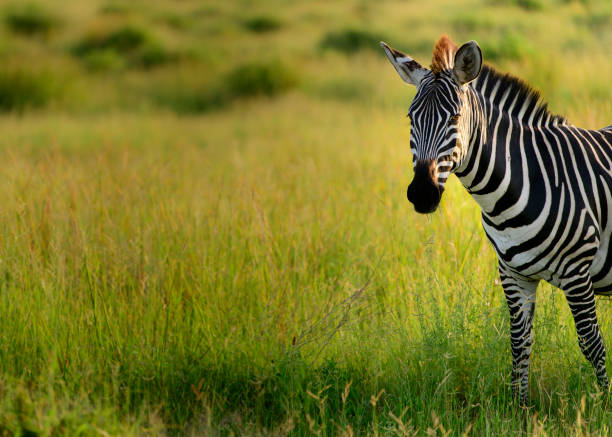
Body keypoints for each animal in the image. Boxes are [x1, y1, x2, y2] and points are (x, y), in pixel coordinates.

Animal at [380, 35, 608, 404]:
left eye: (455, 117)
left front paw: (603, 405)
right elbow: (519, 343)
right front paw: (521, 407)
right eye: (410, 118)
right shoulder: (514, 274)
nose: (422, 194)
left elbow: (591, 344)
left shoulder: (577, 271)